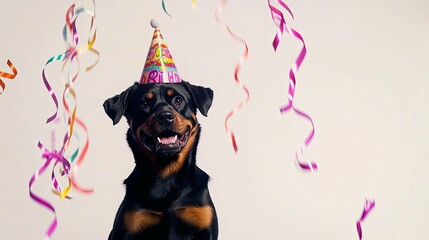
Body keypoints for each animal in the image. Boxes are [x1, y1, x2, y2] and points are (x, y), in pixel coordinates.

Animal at [103, 81, 217, 240]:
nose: (164, 116)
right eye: (144, 104)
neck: (166, 175)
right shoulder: (131, 223)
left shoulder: (203, 223)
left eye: (178, 100)